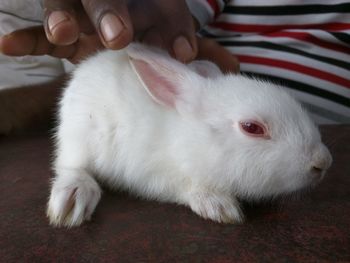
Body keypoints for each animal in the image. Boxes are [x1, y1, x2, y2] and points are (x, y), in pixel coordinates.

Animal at [46, 42, 330, 227]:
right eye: (252, 127)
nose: (323, 162)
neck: (185, 138)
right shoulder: (150, 174)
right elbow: (184, 187)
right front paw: (218, 205)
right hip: (78, 137)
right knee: (72, 167)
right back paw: (74, 198)